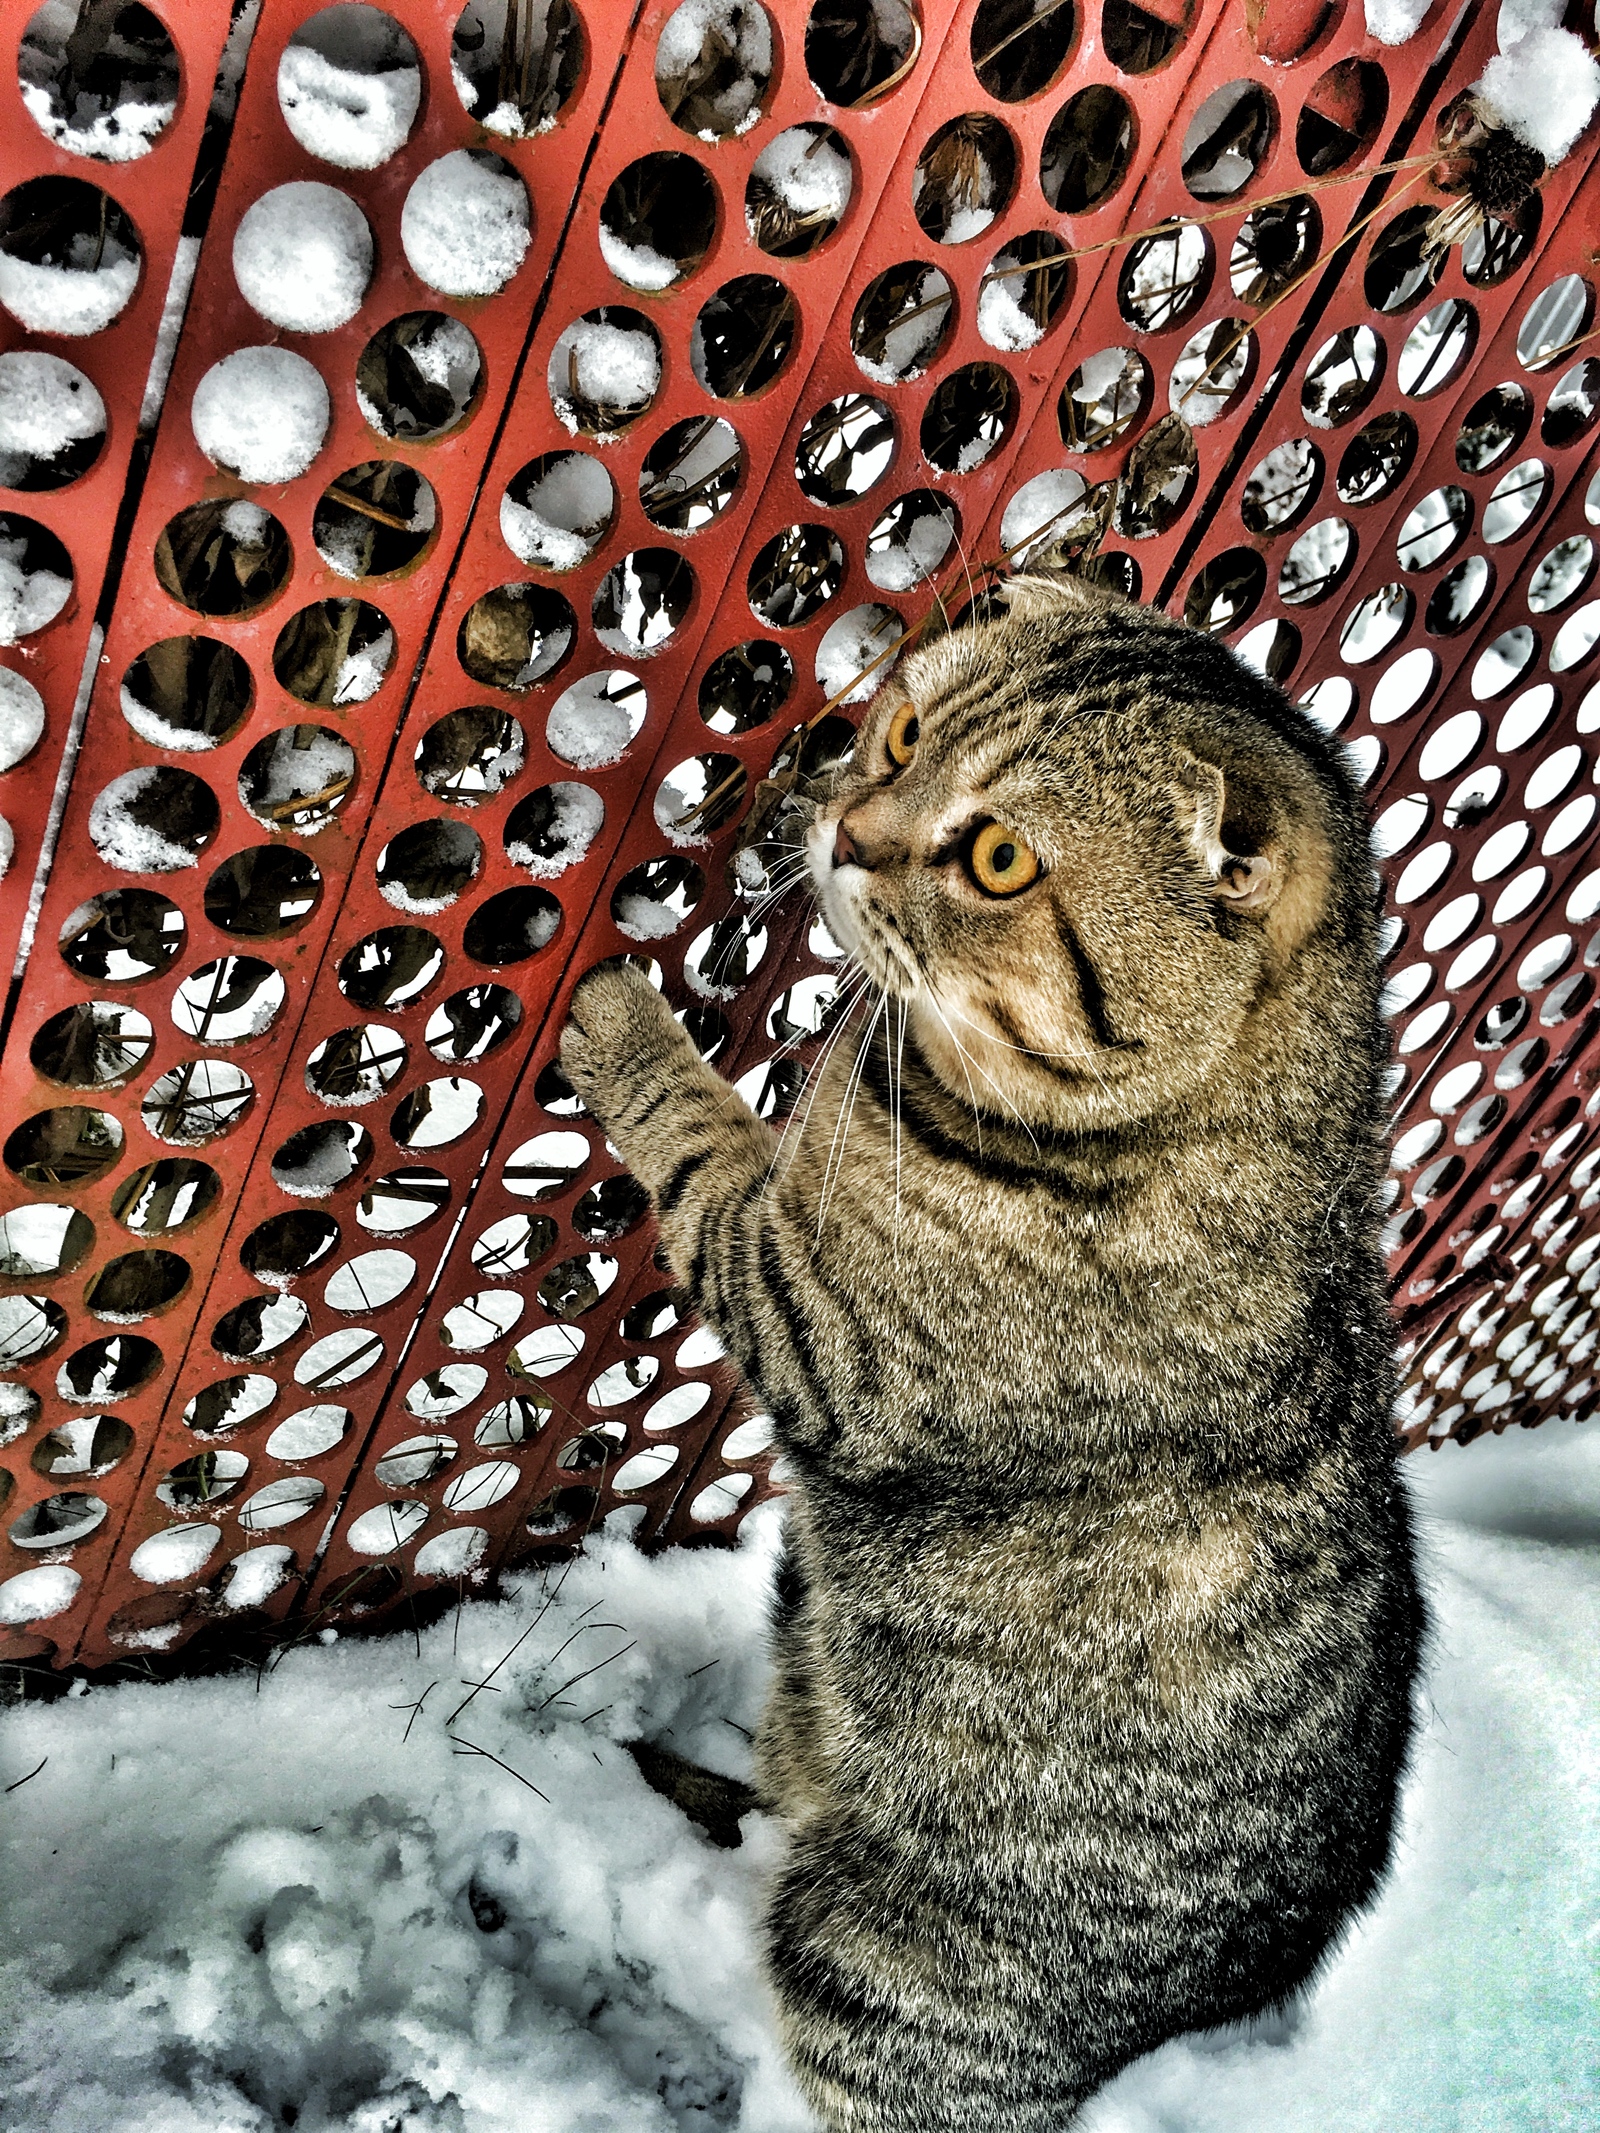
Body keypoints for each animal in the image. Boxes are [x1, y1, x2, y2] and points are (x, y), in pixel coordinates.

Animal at [563, 575, 1425, 2124]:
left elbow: (700, 1145)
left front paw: (623, 1021)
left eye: (1001, 859)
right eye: (902, 732)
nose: (847, 828)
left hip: (865, 1974)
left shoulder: (814, 1316)